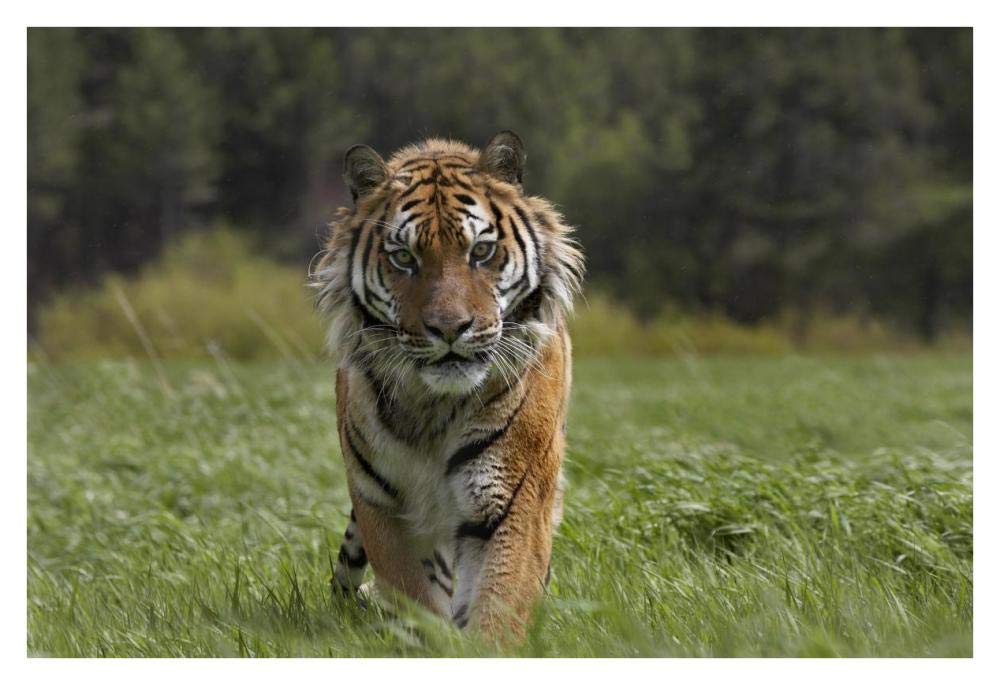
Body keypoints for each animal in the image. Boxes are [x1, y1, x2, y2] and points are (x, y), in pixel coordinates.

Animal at [311, 131, 584, 642]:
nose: (450, 328)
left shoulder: (510, 500)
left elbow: (498, 602)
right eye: (404, 258)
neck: (433, 407)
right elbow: (416, 601)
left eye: (481, 252)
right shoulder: (385, 506)